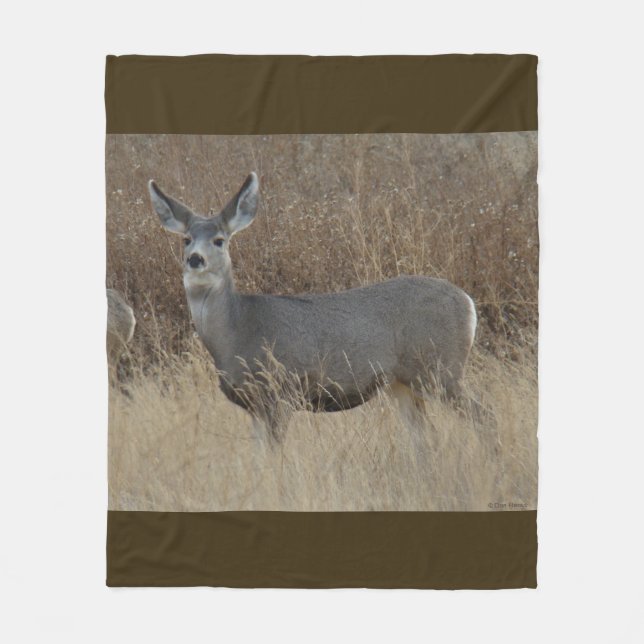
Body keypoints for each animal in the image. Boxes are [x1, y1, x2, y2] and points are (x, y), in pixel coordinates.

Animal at [148, 173, 477, 445]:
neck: (236, 333)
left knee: (480, 415)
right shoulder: (253, 405)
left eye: (219, 240)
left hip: (441, 367)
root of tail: (468, 302)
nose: (195, 259)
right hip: (402, 383)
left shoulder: (280, 392)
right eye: (186, 239)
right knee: (425, 437)